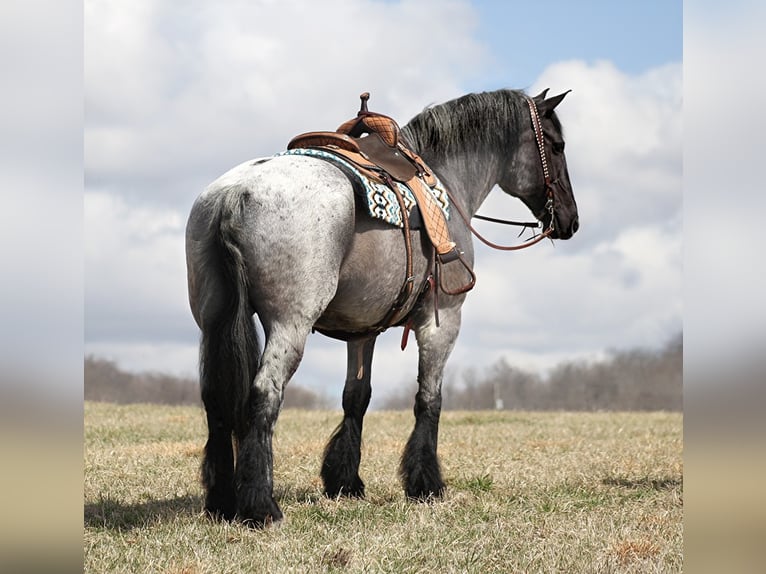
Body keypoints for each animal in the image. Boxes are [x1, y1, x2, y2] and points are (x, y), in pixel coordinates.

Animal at [188, 89, 584, 528]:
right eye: (557, 146)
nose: (570, 219)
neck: (447, 180)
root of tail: (234, 196)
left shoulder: (361, 330)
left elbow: (356, 397)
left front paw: (344, 481)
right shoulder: (442, 320)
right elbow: (429, 399)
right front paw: (425, 483)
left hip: (213, 322)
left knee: (214, 398)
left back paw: (222, 499)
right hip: (288, 325)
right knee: (264, 394)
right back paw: (260, 505)